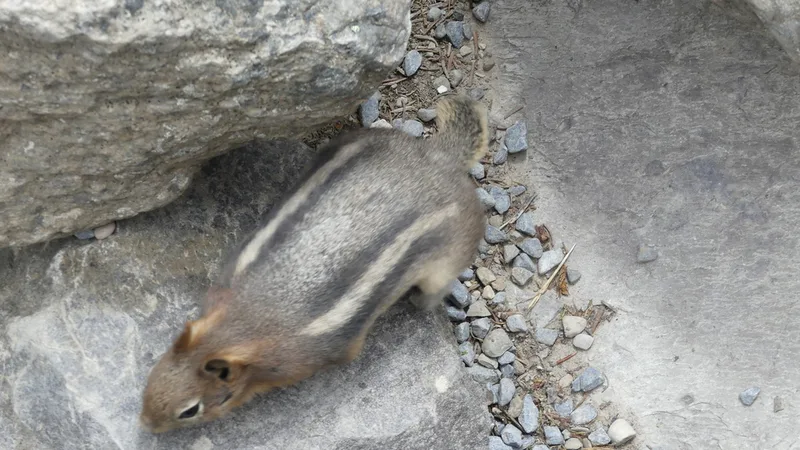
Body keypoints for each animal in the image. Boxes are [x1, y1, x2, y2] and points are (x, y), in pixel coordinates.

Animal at [139, 95, 489, 433]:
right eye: (154, 372)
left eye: (190, 410)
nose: (145, 424)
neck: (245, 322)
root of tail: (438, 155)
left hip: (448, 258)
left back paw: (420, 301)